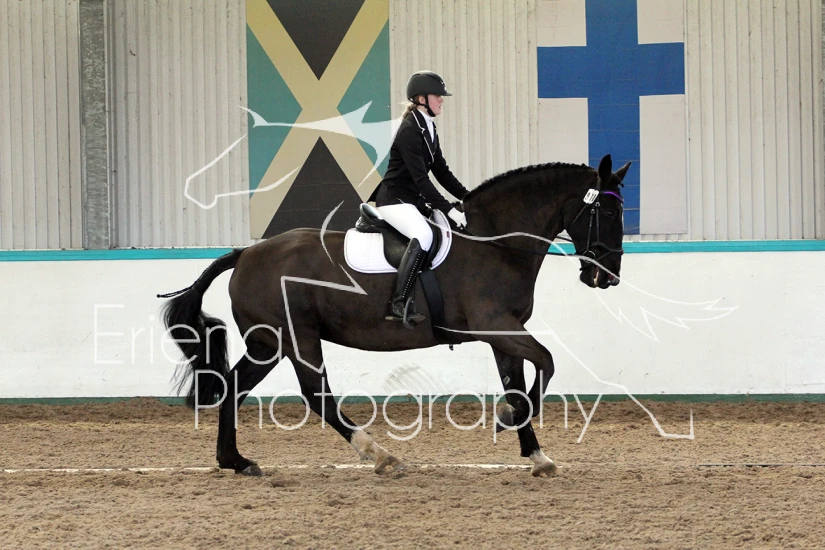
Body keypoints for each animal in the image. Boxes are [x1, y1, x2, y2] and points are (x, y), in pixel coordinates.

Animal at [159, 154, 630, 477]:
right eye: (608, 212)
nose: (607, 276)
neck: (495, 242)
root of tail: (244, 254)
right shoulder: (496, 325)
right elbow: (547, 363)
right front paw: (506, 422)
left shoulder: (505, 332)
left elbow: (518, 386)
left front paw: (536, 454)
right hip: (296, 339)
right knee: (316, 394)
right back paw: (379, 454)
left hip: (267, 343)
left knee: (234, 386)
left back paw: (236, 461)